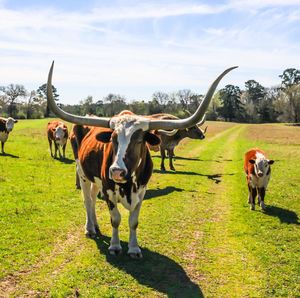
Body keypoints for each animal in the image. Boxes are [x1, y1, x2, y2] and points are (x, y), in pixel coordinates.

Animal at [46, 61, 237, 258]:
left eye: (139, 140)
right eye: (113, 138)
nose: (116, 171)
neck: (129, 184)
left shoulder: (142, 191)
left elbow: (133, 221)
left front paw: (134, 248)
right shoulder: (108, 190)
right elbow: (115, 219)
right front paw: (115, 246)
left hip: (94, 178)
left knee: (92, 196)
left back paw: (96, 226)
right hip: (83, 173)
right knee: (87, 200)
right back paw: (90, 228)